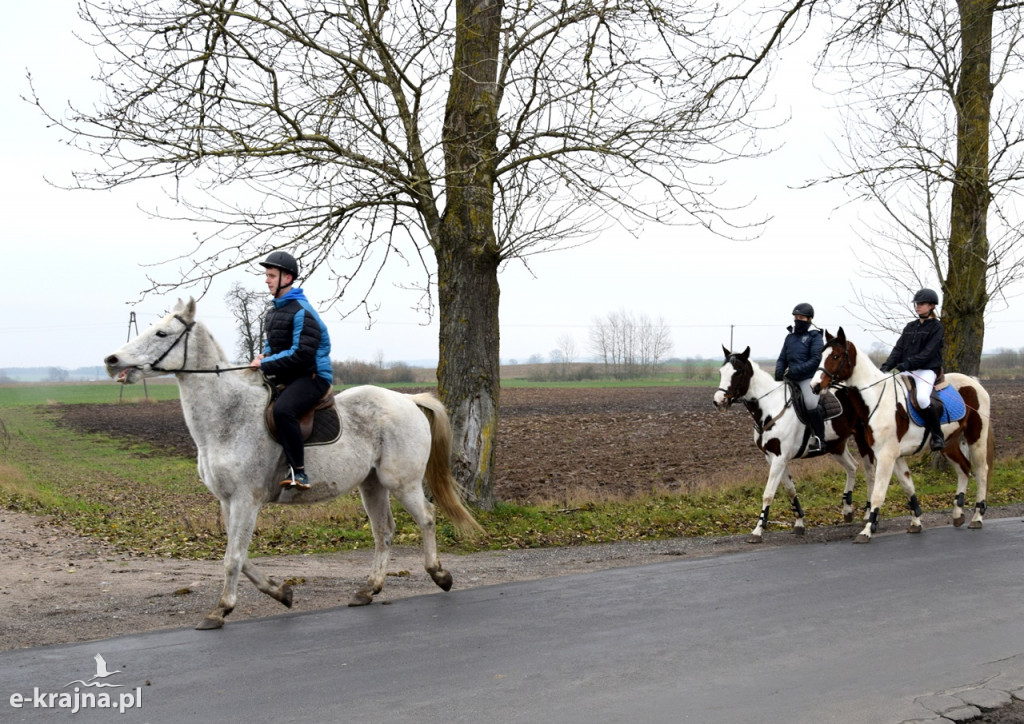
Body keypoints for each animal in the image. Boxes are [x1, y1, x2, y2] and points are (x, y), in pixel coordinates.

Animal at [103, 299, 483, 626]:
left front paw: (220, 610)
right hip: (371, 484)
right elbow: (240, 557)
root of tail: (408, 400)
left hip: (400, 482)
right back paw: (368, 589)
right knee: (384, 531)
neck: (228, 416)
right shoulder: (228, 501)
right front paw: (281, 592)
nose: (112, 360)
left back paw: (440, 575)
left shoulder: (246, 500)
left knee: (427, 518)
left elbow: (233, 558)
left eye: (161, 334)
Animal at [712, 346, 897, 544]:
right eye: (721, 372)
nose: (718, 400)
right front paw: (799, 523)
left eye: (738, 372)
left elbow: (768, 493)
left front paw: (757, 531)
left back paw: (868, 514)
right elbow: (790, 490)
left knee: (870, 473)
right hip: (836, 445)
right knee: (852, 467)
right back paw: (847, 509)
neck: (770, 408)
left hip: (863, 441)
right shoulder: (773, 458)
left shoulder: (779, 458)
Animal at [811, 327, 995, 544]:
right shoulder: (896, 456)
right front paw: (915, 522)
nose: (815, 386)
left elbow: (878, 493)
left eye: (836, 356)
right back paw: (958, 514)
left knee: (981, 471)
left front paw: (867, 530)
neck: (876, 399)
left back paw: (977, 517)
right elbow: (908, 487)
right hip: (949, 444)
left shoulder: (886, 455)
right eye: (821, 355)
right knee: (964, 468)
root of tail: (973, 382)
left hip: (976, 438)